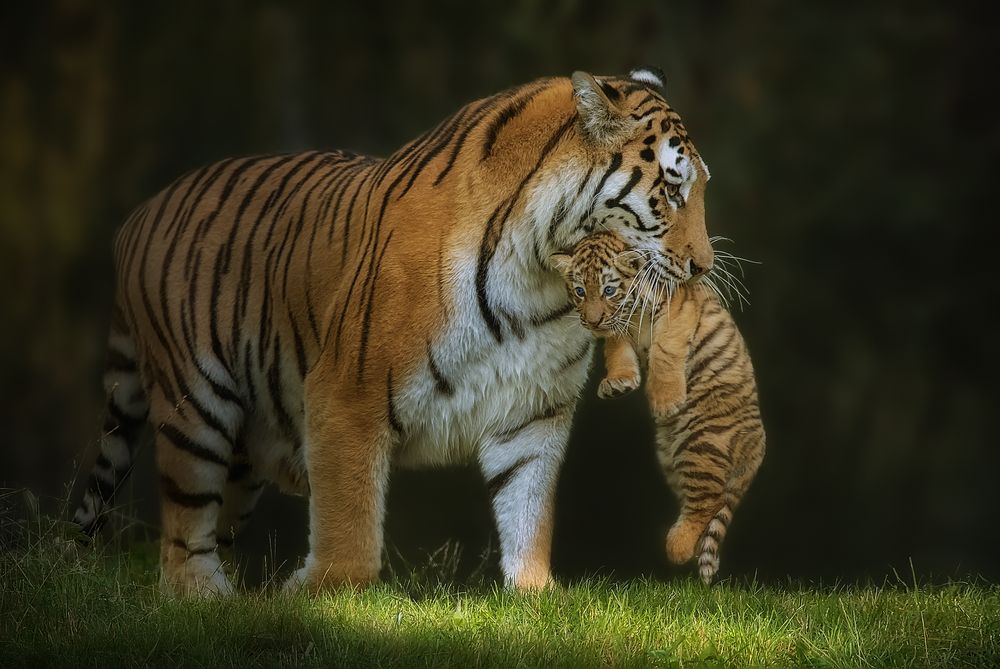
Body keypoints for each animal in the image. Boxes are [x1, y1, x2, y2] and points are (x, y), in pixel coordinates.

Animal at [72, 65, 712, 592]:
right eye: (672, 190)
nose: (703, 266)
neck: (538, 280)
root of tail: (140, 213)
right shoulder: (346, 393)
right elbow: (350, 517)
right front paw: (322, 595)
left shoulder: (535, 410)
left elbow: (529, 507)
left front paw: (535, 595)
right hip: (195, 405)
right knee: (183, 530)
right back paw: (206, 597)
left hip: (246, 451)